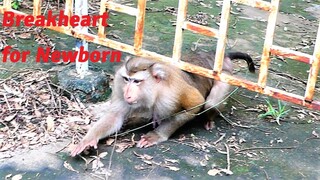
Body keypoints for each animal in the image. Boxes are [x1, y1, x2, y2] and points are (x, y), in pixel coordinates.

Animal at [70, 50, 255, 156]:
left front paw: (156, 135)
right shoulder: (119, 87)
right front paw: (88, 140)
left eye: (137, 81)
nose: (128, 93)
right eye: (127, 79)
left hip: (226, 76)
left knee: (211, 103)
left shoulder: (173, 93)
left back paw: (209, 118)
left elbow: (196, 104)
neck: (155, 91)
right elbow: (115, 116)